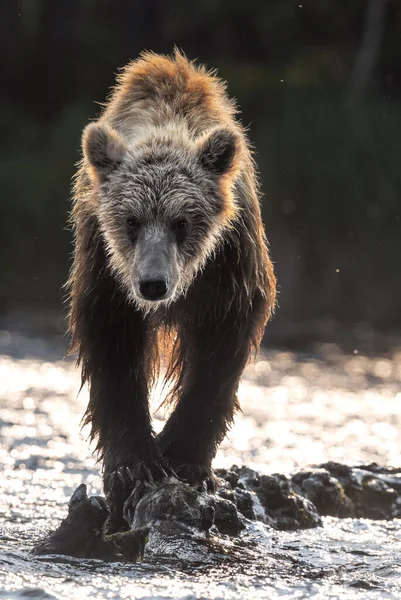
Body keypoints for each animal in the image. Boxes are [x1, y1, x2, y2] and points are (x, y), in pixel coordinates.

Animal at [68, 50, 276, 528]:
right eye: (131, 220)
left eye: (181, 221)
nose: (152, 284)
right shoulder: (106, 268)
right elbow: (113, 354)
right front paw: (135, 465)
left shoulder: (230, 265)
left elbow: (220, 354)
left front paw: (183, 457)